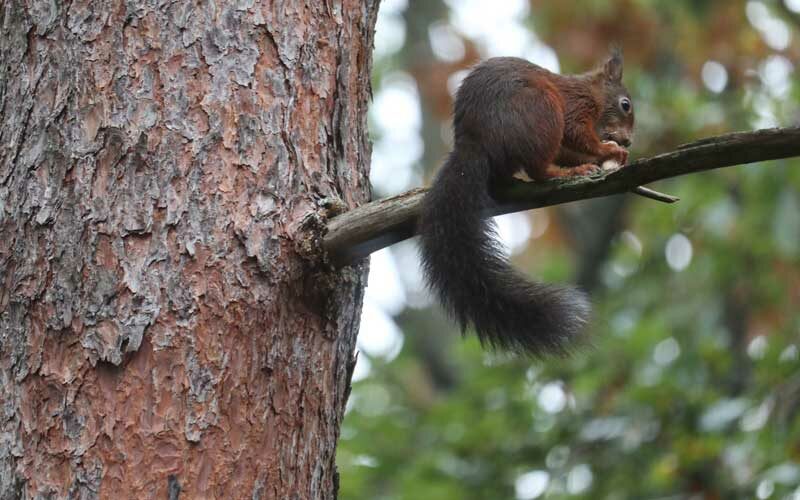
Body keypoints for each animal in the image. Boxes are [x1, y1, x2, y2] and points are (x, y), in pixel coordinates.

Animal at [418, 49, 636, 356]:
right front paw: (606, 150)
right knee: (538, 169)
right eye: (625, 105)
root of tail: (473, 143)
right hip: (542, 110)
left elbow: (567, 150)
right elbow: (577, 134)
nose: (627, 142)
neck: (590, 91)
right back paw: (567, 174)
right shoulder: (575, 107)